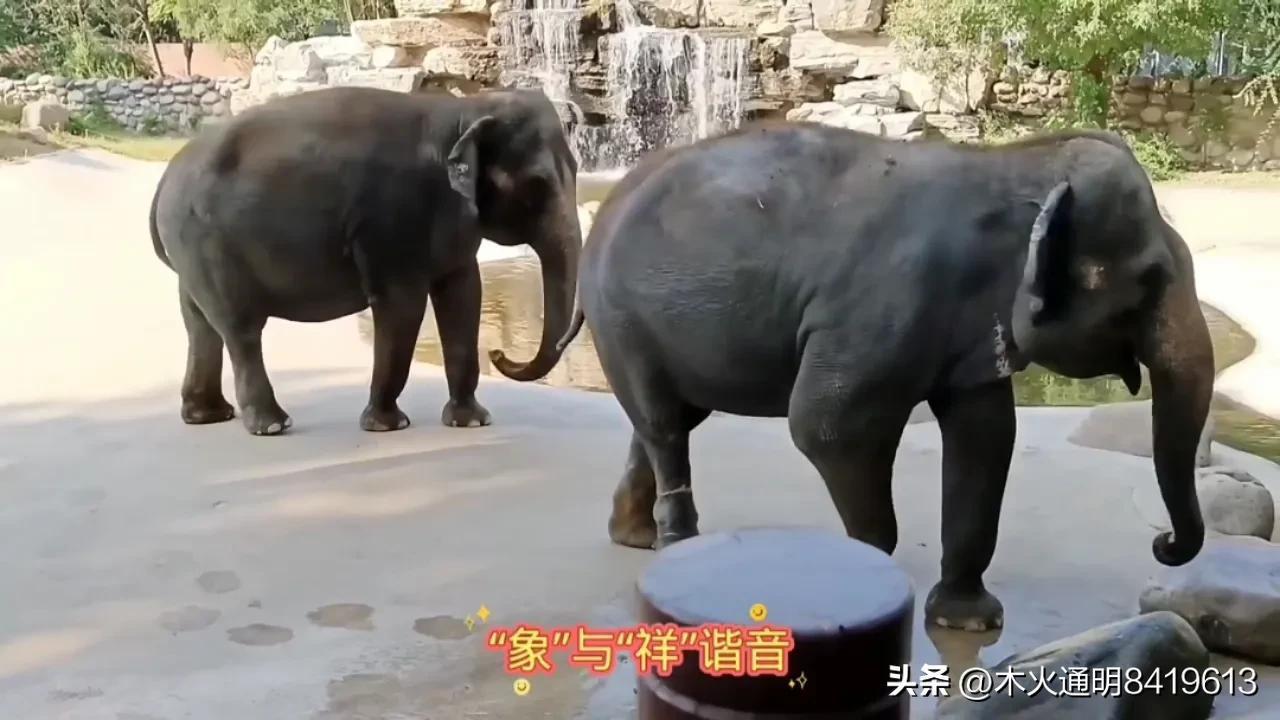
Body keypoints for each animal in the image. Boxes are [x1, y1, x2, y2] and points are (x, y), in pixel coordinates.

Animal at [150, 86, 582, 436]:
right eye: (537, 186)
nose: (499, 353)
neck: (465, 109)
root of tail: (164, 181)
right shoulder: (393, 218)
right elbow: (402, 304)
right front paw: (387, 425)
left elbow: (463, 294)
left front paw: (472, 421)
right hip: (208, 243)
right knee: (240, 327)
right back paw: (272, 425)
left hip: (191, 252)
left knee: (199, 324)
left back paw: (208, 416)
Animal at [557, 123, 1215, 632]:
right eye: (1150, 281)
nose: (1162, 545)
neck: (1011, 162)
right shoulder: (882, 305)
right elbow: (829, 427)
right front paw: (870, 579)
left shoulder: (973, 327)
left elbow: (986, 436)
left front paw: (968, 620)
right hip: (622, 314)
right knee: (665, 424)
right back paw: (676, 546)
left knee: (665, 420)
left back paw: (635, 538)